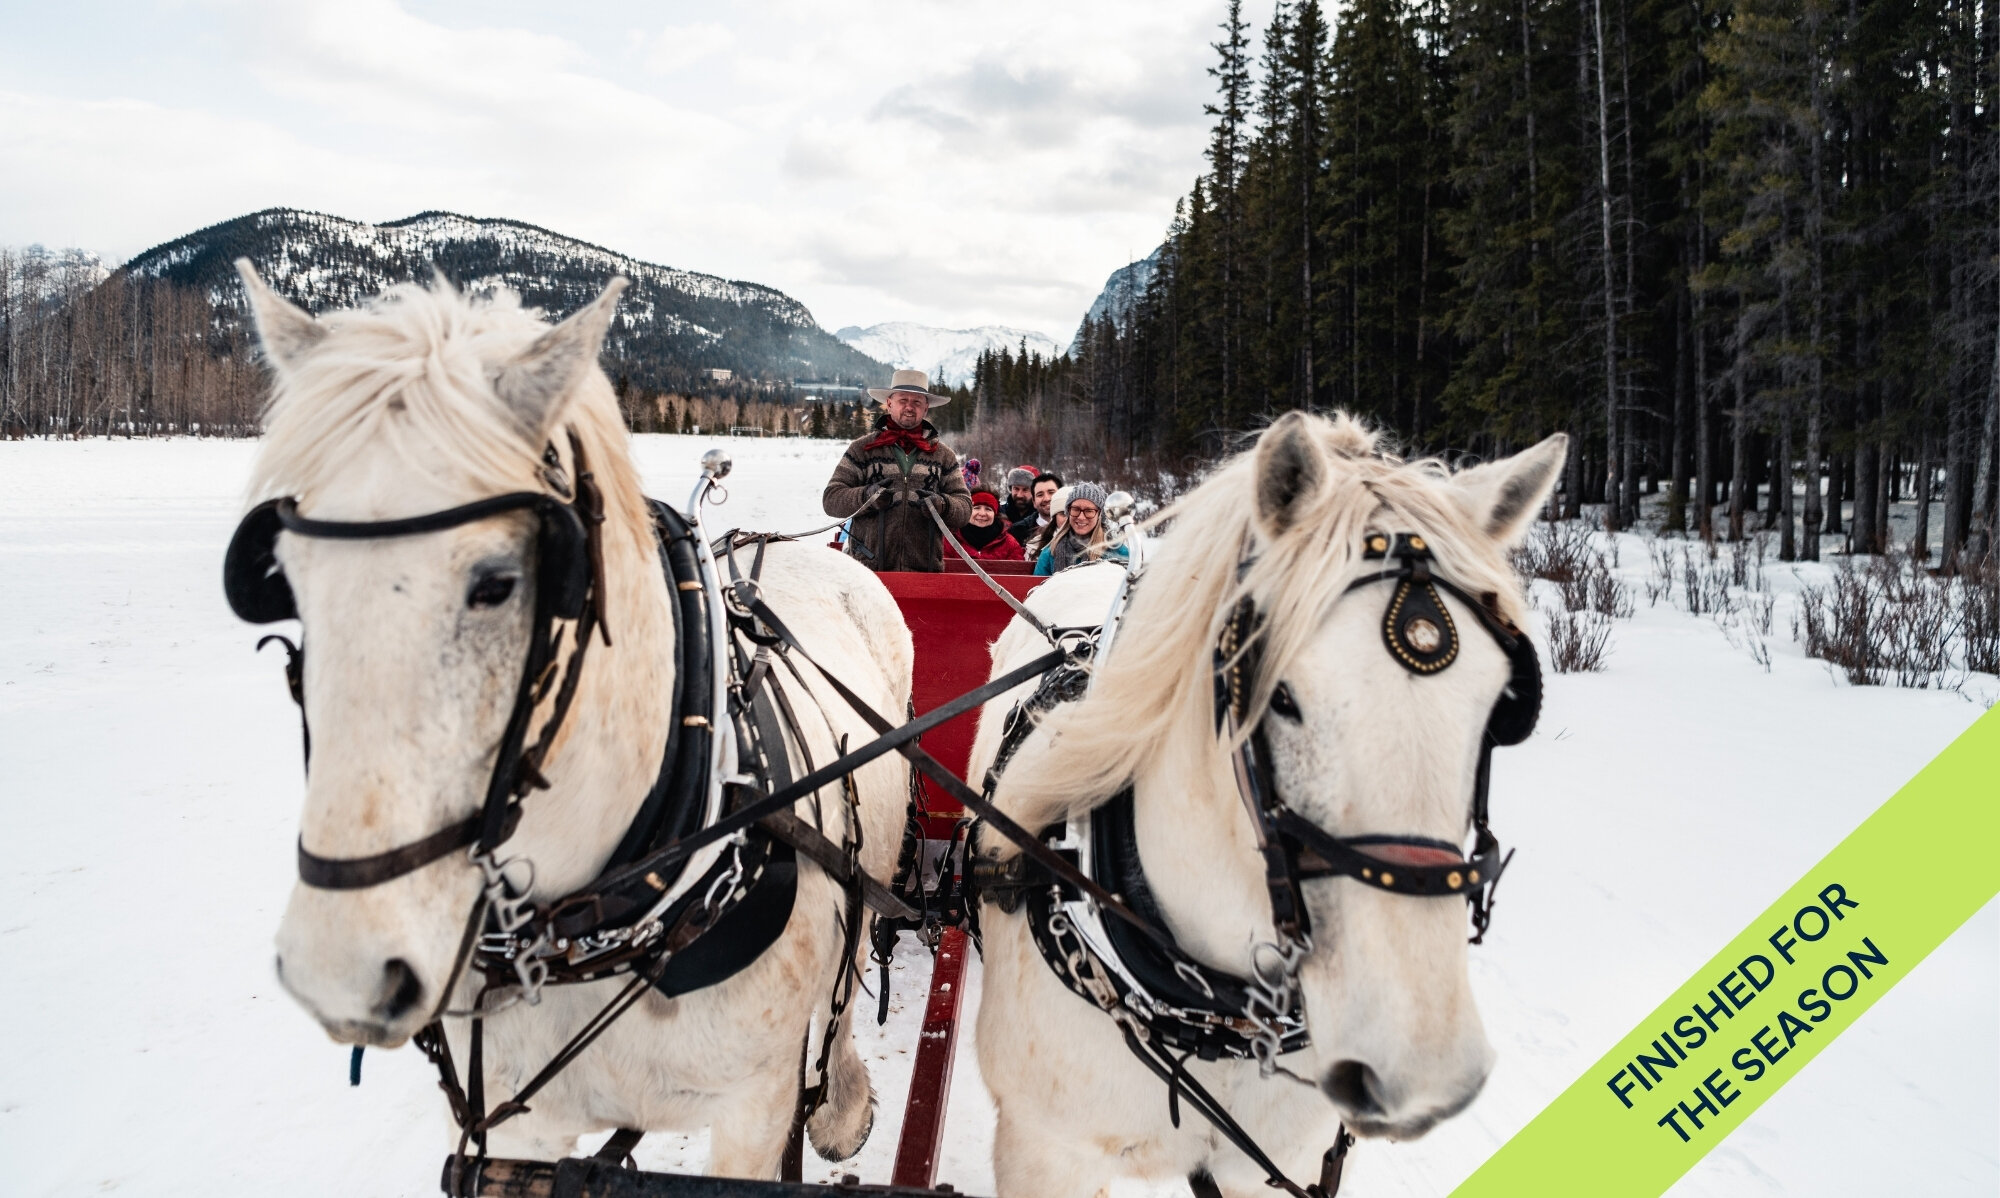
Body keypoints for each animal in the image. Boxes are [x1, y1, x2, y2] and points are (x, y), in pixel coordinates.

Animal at [236, 268, 916, 1176]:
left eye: (498, 581)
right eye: (285, 577)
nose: (340, 974)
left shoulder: (754, 1109)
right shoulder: (515, 1127)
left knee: (850, 972)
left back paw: (842, 1104)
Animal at [964, 414, 1560, 1198]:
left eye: (1501, 707)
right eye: (1280, 696)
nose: (1422, 1068)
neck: (1213, 1013)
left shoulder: (1290, 1162)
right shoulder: (1044, 1152)